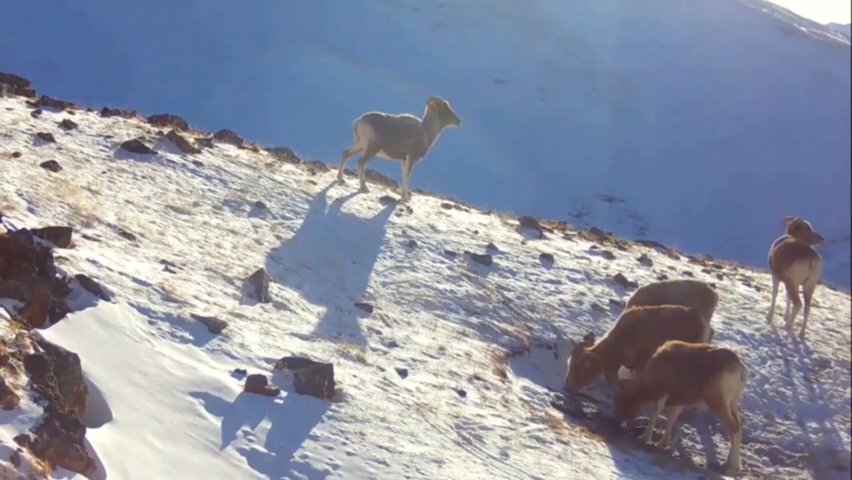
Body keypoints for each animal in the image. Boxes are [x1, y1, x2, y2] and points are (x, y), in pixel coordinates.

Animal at [612, 342, 744, 476]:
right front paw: (662, 444)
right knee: (734, 430)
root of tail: (739, 368)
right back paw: (726, 464)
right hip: (731, 405)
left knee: (734, 429)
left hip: (717, 404)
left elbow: (655, 412)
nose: (618, 419)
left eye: (619, 399)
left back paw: (733, 469)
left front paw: (644, 439)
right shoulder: (678, 402)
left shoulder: (661, 396)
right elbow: (672, 417)